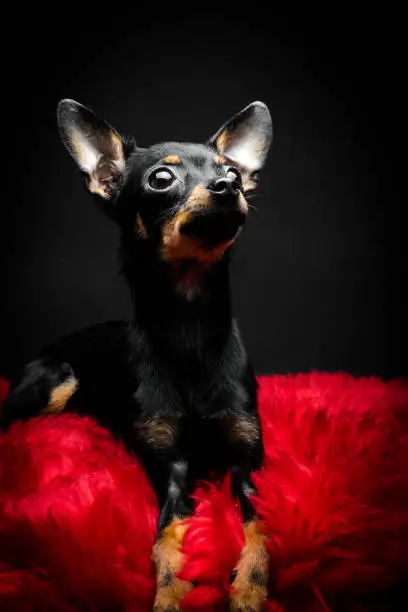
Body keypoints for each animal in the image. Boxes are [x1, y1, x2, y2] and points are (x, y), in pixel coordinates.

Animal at [2, 98, 274, 608]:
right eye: (160, 180)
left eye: (231, 170)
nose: (229, 186)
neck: (189, 327)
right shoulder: (172, 471)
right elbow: (166, 544)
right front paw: (169, 596)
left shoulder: (246, 464)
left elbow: (259, 530)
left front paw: (249, 587)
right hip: (59, 375)